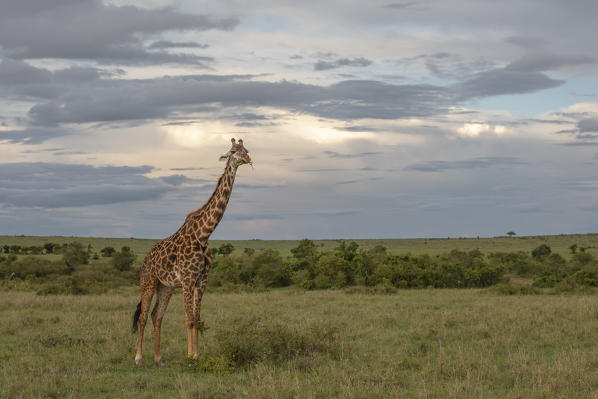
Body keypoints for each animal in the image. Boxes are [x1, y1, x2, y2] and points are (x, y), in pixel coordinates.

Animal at [132, 139, 252, 368]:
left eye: (247, 150)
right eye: (234, 151)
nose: (248, 159)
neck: (203, 235)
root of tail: (145, 259)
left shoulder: (202, 280)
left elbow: (197, 318)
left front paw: (197, 355)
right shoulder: (187, 280)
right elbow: (188, 319)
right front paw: (189, 357)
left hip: (166, 286)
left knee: (156, 316)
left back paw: (159, 359)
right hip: (148, 281)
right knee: (142, 316)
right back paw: (139, 358)